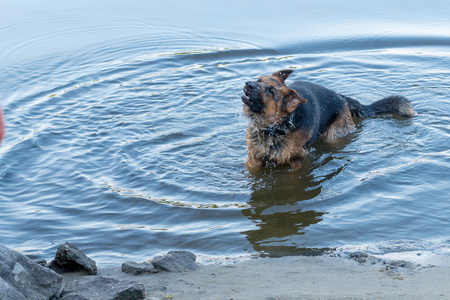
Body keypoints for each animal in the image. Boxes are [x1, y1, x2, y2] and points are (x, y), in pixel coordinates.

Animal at [241, 69, 414, 170]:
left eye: (270, 91)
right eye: (259, 80)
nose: (248, 84)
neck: (272, 128)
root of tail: (341, 97)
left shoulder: (297, 161)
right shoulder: (253, 160)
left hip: (334, 136)